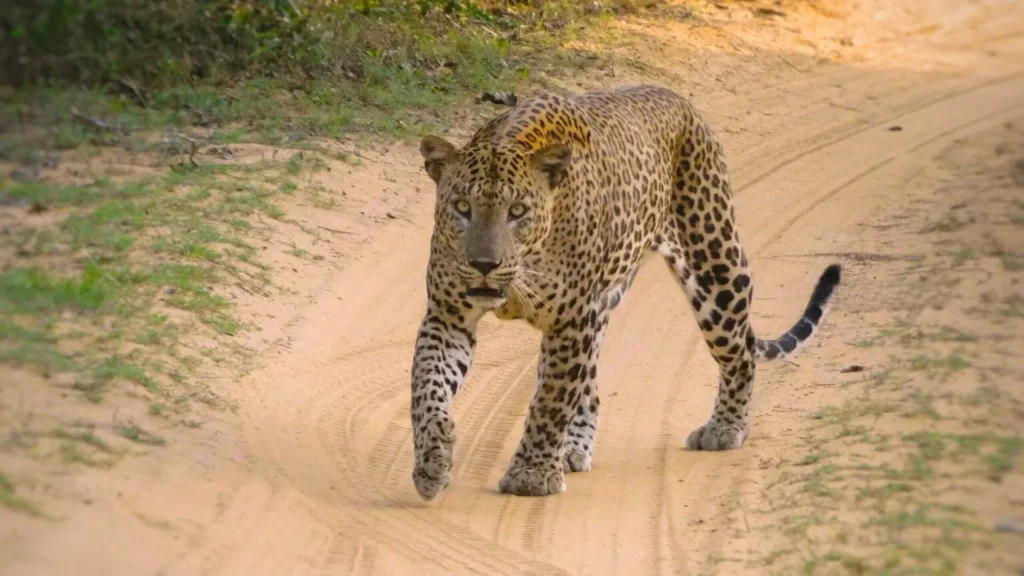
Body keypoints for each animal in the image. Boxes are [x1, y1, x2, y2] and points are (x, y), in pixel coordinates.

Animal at [409, 84, 841, 499]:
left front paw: (531, 476)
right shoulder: (448, 316)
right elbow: (426, 387)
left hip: (716, 270)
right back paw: (573, 450)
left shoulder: (572, 320)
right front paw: (432, 460)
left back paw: (724, 428)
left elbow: (550, 402)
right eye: (462, 207)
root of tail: (679, 100)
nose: (484, 264)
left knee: (742, 353)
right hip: (604, 308)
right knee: (590, 388)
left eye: (517, 212)